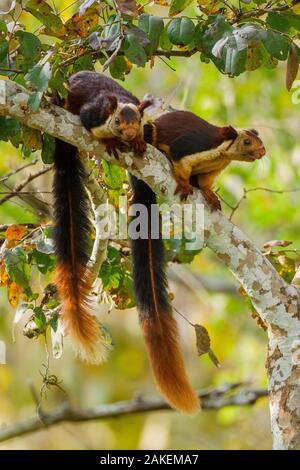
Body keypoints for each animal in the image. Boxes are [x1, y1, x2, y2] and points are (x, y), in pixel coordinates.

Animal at [52, 71, 200, 414]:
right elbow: (87, 121)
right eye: (119, 120)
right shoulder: (92, 113)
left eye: (136, 120)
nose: (131, 132)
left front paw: (137, 142)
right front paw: (108, 141)